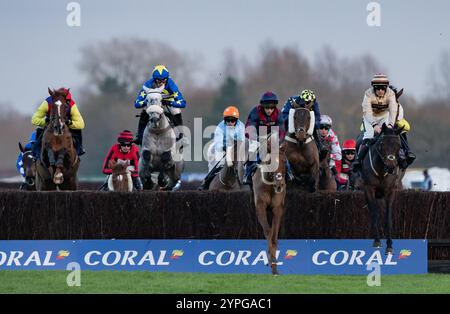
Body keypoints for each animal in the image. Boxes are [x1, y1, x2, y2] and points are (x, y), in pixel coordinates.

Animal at [251, 134, 286, 274]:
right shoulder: (260, 205)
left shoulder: (278, 207)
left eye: (284, 161)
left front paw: (275, 266)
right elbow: (268, 231)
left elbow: (274, 235)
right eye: (270, 162)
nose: (279, 184)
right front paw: (270, 260)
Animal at [360, 124, 402, 254]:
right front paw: (377, 241)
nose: (391, 166)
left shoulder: (390, 191)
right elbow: (374, 214)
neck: (381, 170)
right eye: (382, 144)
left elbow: (388, 218)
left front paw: (389, 245)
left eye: (398, 145)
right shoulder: (369, 189)